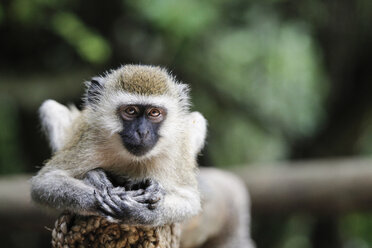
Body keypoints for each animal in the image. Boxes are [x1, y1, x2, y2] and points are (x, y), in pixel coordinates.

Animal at [30, 64, 208, 227]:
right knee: (50, 108)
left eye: (154, 113)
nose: (142, 132)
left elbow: (189, 200)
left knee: (197, 119)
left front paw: (139, 213)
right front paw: (100, 197)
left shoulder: (173, 153)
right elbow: (45, 183)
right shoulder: (88, 143)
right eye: (130, 111)